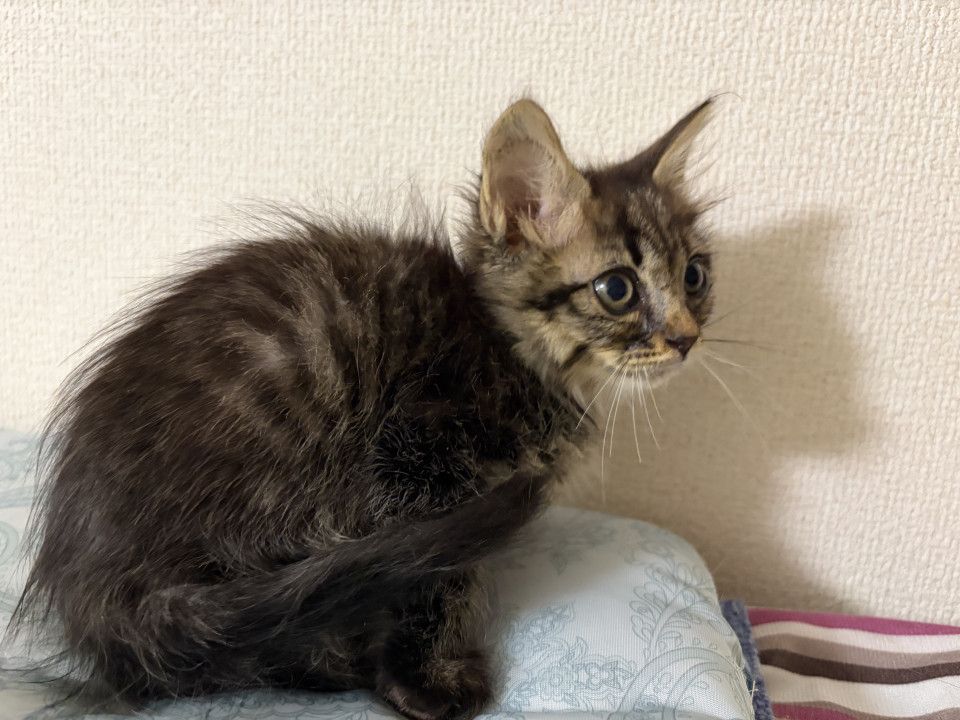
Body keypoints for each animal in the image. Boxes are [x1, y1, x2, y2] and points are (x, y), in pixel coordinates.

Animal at [9, 98, 716, 720]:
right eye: (616, 289)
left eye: (695, 277)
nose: (686, 338)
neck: (514, 352)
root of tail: (97, 596)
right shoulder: (418, 459)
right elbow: (436, 578)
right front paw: (426, 680)